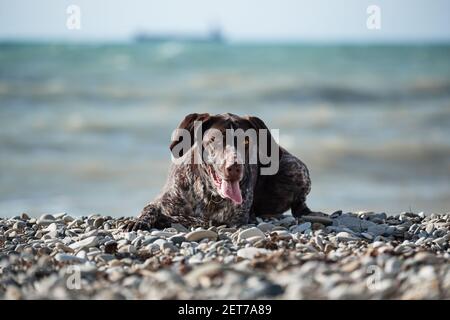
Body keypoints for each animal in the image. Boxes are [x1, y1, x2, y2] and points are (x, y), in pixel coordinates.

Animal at [125, 112, 312, 230]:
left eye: (246, 141)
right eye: (214, 139)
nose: (234, 167)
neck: (209, 195)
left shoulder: (229, 221)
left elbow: (193, 220)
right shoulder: (161, 201)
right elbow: (149, 209)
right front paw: (139, 221)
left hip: (295, 167)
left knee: (300, 206)